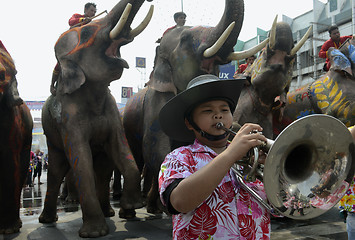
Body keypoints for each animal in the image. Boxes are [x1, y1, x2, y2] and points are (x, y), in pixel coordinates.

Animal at [38, 0, 154, 238]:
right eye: (87, 32)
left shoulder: (112, 113)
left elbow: (121, 150)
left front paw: (133, 206)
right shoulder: (68, 116)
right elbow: (81, 161)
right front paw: (95, 233)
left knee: (102, 168)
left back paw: (109, 212)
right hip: (51, 136)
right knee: (56, 170)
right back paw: (47, 220)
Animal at [122, 0, 270, 215]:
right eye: (185, 38)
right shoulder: (156, 101)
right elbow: (156, 147)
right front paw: (167, 207)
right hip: (128, 124)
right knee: (140, 158)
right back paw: (138, 210)